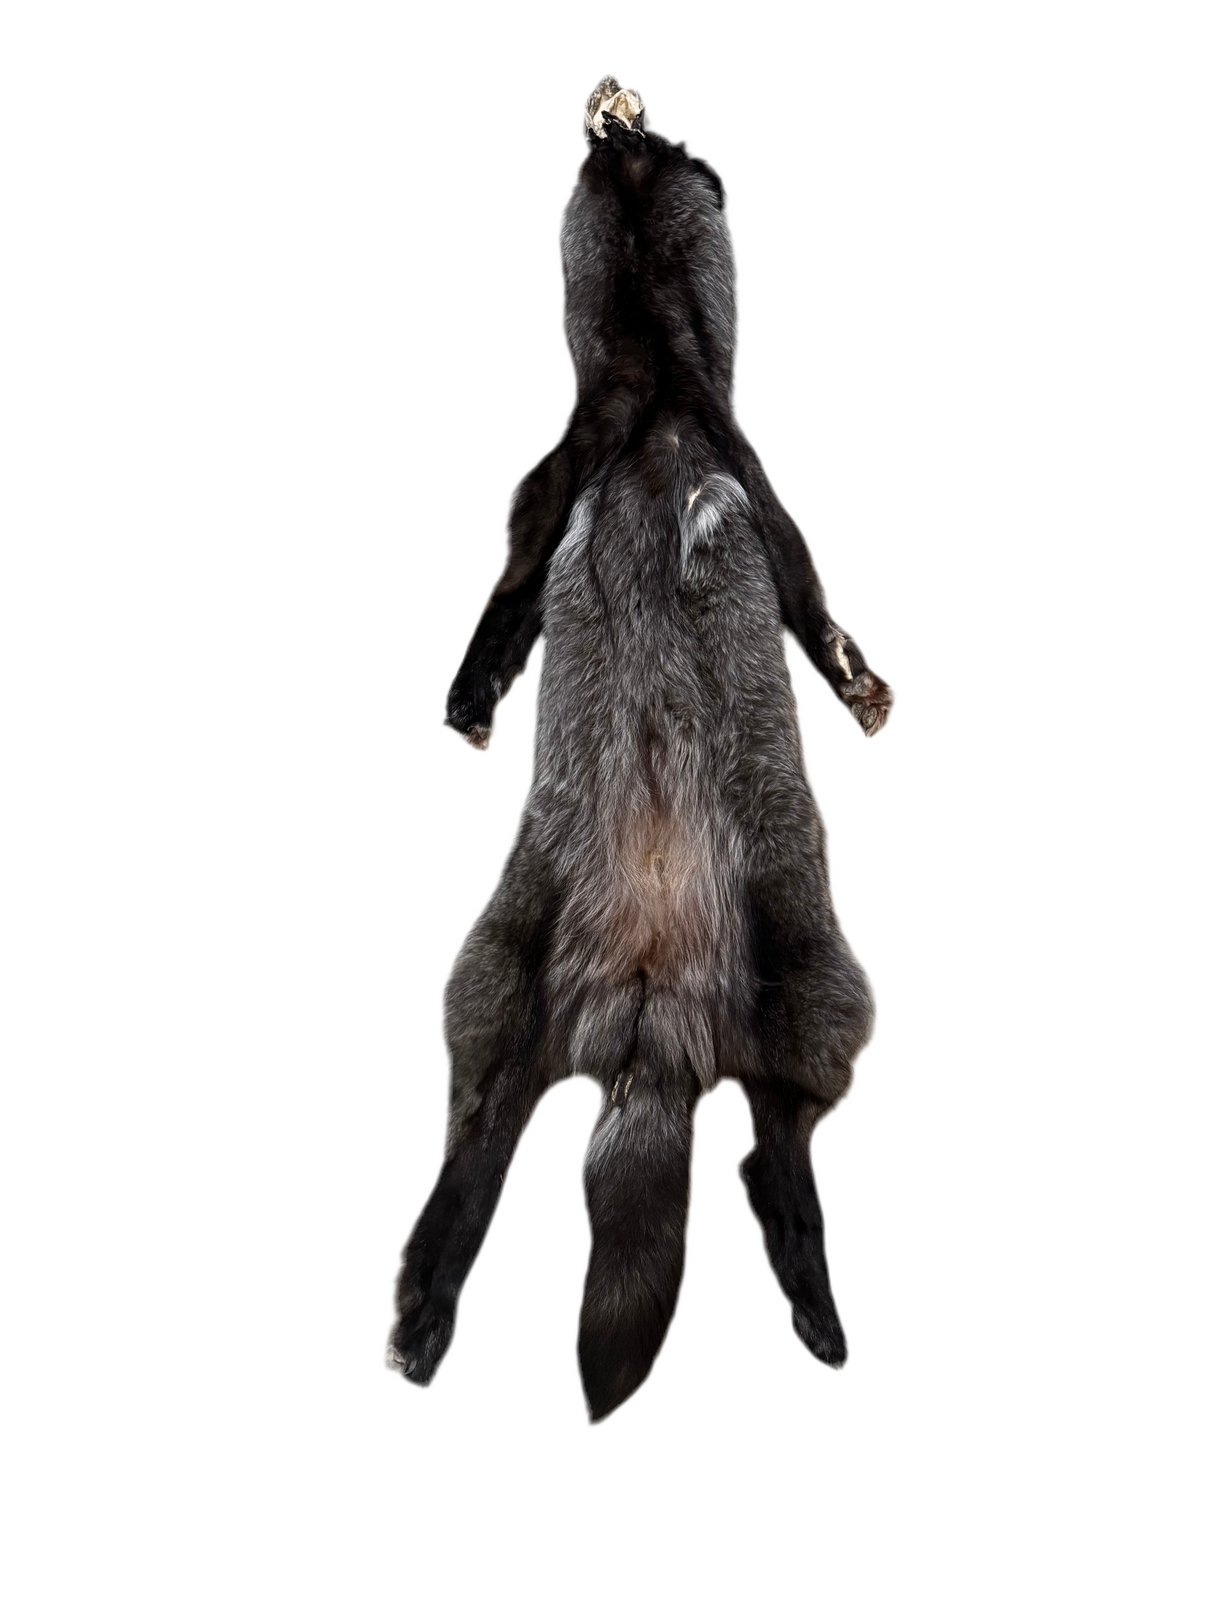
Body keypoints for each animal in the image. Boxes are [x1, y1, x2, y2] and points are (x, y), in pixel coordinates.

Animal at [388, 78, 892, 1420]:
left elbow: (506, 601)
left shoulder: (551, 482)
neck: (657, 387)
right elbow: (813, 599)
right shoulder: (753, 480)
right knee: (770, 1158)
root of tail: (652, 1015)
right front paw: (863, 686)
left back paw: (420, 1309)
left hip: (497, 996)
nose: (616, 107)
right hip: (821, 997)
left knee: (476, 1164)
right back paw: (816, 1303)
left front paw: (469, 696)